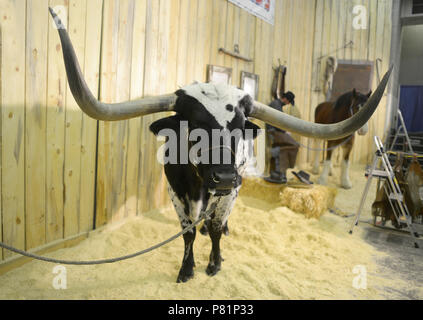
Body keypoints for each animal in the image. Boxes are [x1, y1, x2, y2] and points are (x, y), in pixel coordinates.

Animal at [49, 8, 394, 282]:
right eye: (193, 125)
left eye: (240, 127)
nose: (225, 176)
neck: (198, 181)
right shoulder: (175, 190)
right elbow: (187, 230)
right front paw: (187, 268)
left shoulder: (231, 191)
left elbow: (216, 226)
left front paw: (214, 263)